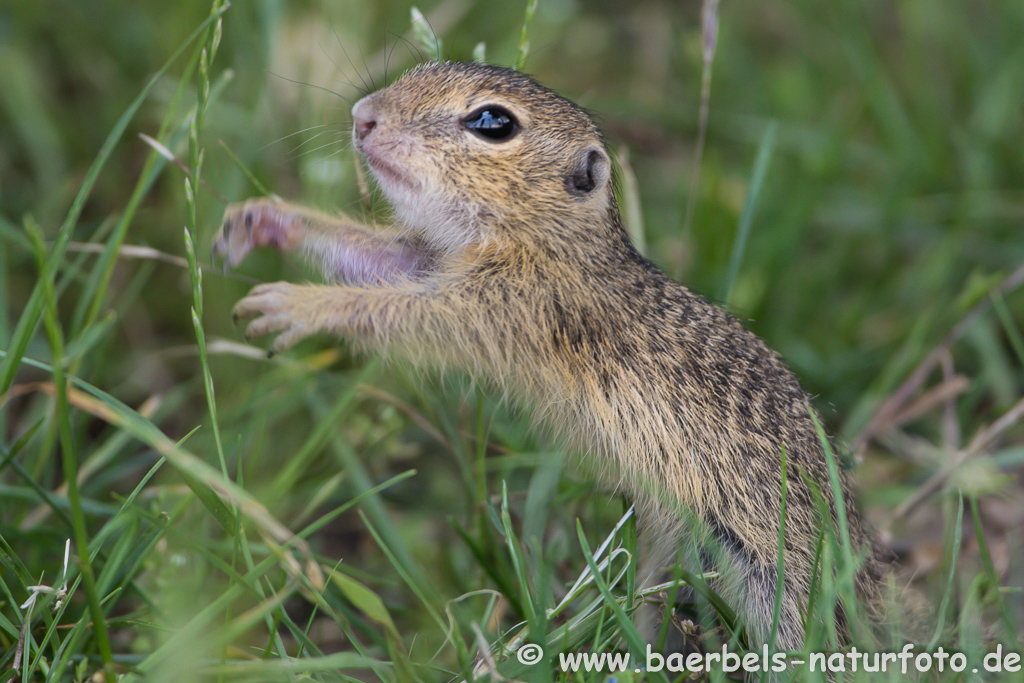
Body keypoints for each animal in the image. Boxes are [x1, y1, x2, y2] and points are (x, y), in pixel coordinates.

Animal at [216, 61, 888, 655]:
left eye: (492, 123)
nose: (362, 115)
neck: (552, 239)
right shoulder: (435, 263)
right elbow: (374, 260)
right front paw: (265, 219)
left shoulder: (507, 304)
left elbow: (392, 311)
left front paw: (298, 304)